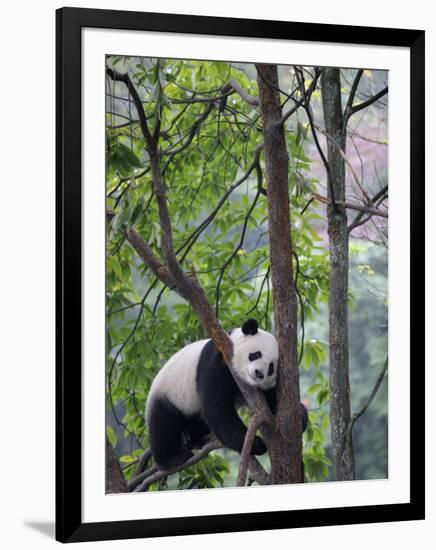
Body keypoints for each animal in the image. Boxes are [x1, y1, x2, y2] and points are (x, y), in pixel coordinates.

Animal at [146, 322, 306, 472]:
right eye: (256, 354)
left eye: (271, 367)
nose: (259, 373)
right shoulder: (217, 361)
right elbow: (217, 410)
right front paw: (257, 444)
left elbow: (272, 402)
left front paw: (300, 416)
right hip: (169, 393)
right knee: (163, 423)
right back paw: (173, 459)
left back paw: (193, 438)